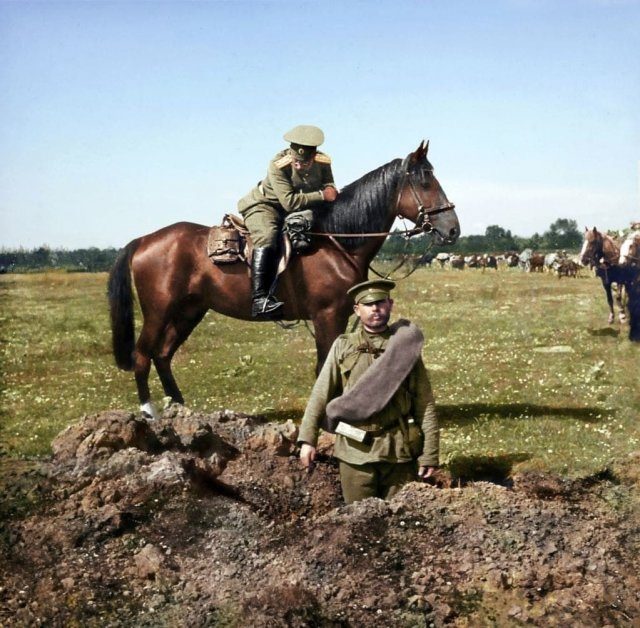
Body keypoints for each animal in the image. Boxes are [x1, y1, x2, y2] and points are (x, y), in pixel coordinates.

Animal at [109, 142, 460, 418]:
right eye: (425, 182)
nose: (453, 228)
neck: (336, 241)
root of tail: (143, 240)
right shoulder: (327, 316)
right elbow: (324, 367)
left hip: (189, 312)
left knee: (163, 355)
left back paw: (180, 408)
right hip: (159, 312)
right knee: (143, 356)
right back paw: (150, 413)